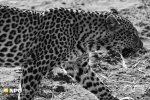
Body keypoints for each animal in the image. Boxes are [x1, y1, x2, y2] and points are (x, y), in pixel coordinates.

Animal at [0, 4, 143, 100]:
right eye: (132, 34)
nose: (142, 46)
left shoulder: (78, 66)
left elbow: (100, 87)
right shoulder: (35, 66)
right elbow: (27, 92)